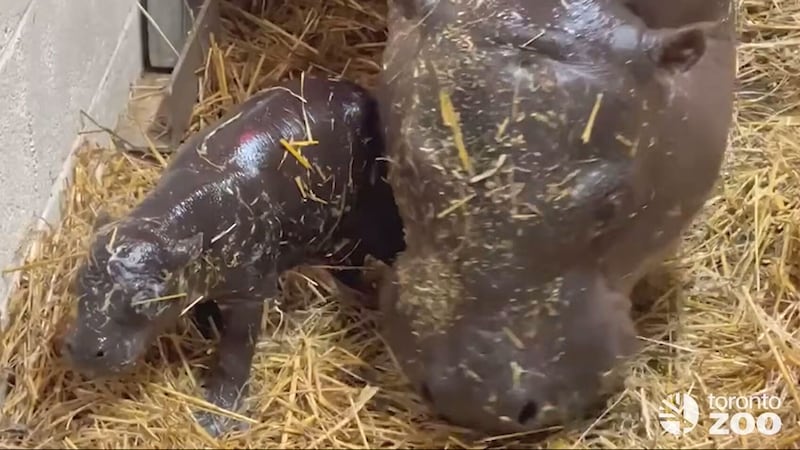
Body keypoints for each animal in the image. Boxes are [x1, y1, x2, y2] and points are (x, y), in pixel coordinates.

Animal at [61, 75, 405, 437]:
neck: (169, 222)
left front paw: (217, 419)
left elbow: (235, 354)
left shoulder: (248, 294)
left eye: (147, 300)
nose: (83, 350)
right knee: (348, 263)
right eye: (77, 283)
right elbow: (206, 315)